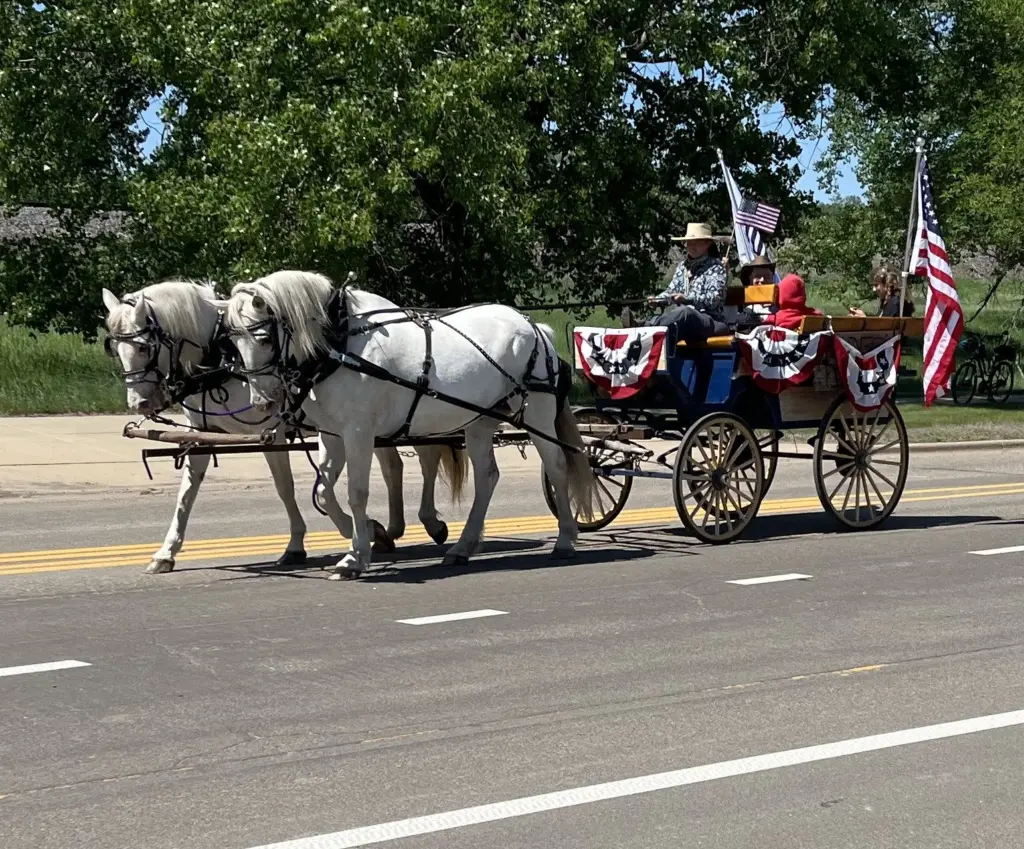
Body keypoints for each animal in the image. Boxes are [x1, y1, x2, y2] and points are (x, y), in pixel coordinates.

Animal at [101, 280, 466, 573]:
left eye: (144, 346)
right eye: (115, 348)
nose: (138, 403)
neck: (221, 356)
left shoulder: (272, 431)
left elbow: (285, 487)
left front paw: (316, 541)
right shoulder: (203, 435)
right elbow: (187, 494)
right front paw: (166, 552)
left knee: (428, 456)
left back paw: (430, 522)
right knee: (393, 465)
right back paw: (394, 527)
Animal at [223, 270, 596, 579]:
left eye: (264, 339)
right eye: (234, 343)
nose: (263, 402)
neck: (341, 344)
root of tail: (535, 327)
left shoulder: (358, 432)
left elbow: (356, 492)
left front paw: (355, 556)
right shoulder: (332, 434)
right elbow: (324, 492)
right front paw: (369, 533)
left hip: (537, 413)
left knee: (557, 466)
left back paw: (565, 538)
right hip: (480, 420)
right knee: (487, 476)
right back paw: (462, 547)